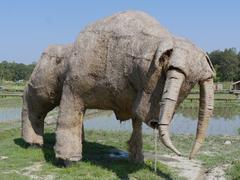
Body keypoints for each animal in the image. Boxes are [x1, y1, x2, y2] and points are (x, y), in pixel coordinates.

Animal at [21, 10, 215, 166]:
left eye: (190, 86)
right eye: (166, 71)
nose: (155, 122)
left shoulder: (134, 100)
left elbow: (137, 129)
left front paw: (137, 160)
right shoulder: (73, 90)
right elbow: (68, 121)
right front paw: (68, 160)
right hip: (43, 85)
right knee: (31, 101)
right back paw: (32, 142)